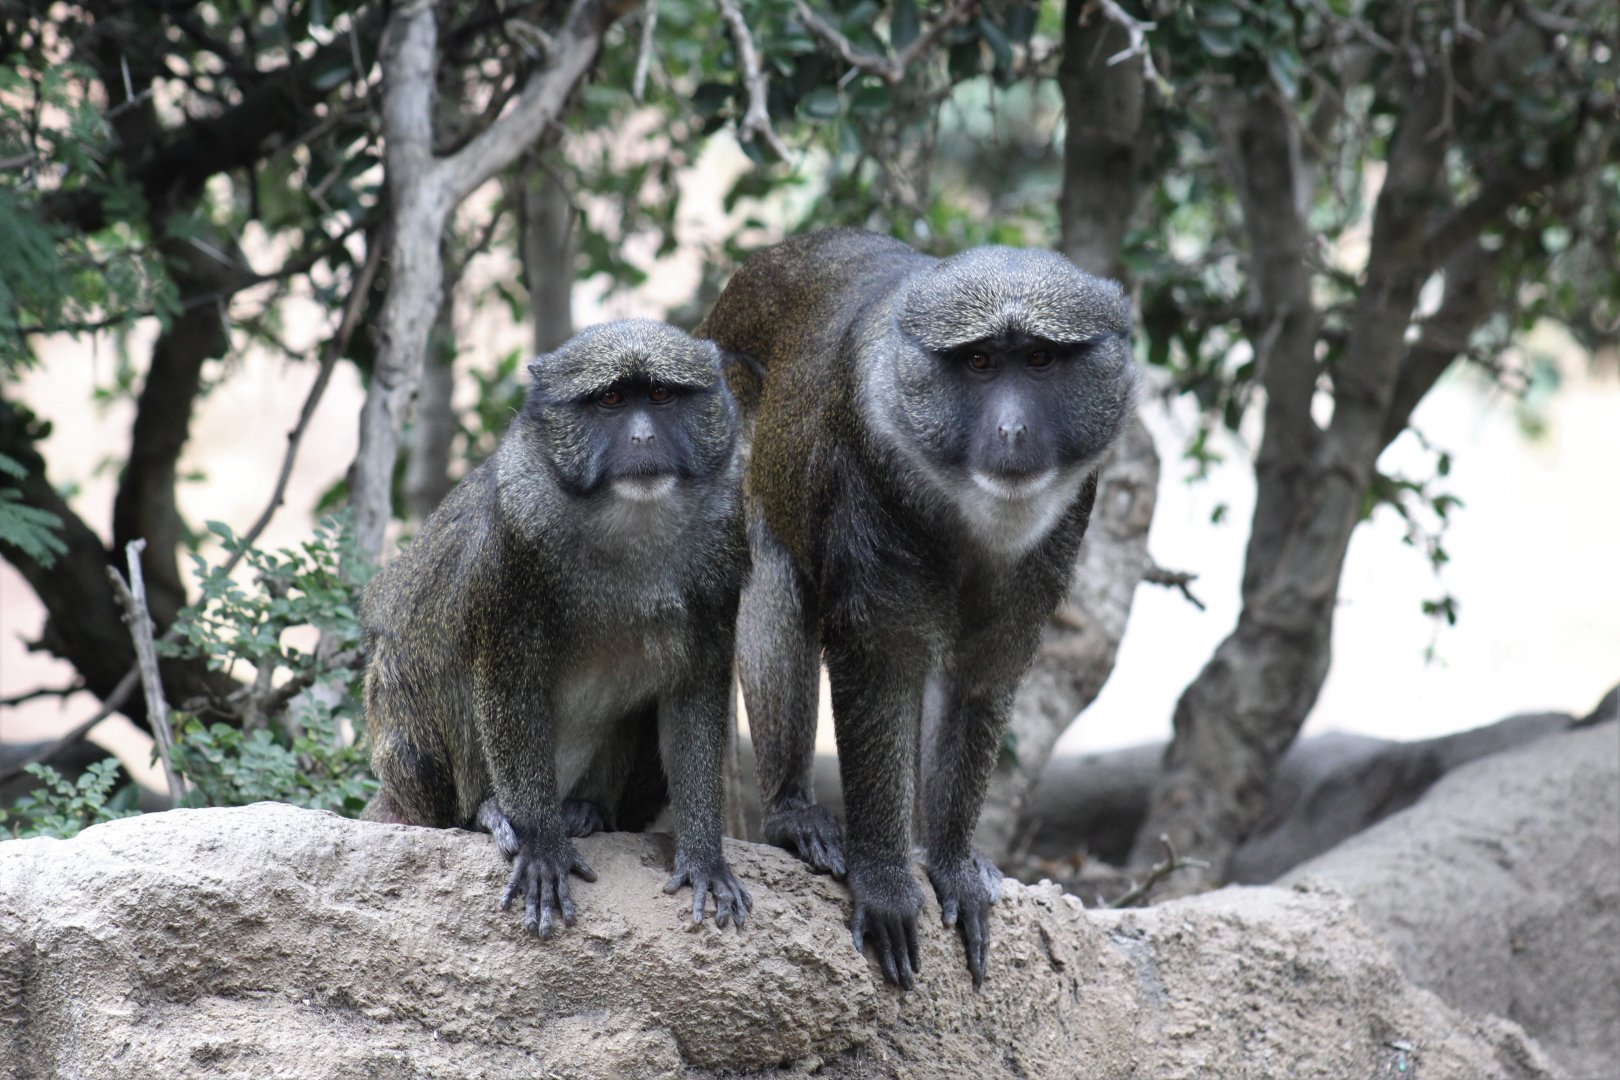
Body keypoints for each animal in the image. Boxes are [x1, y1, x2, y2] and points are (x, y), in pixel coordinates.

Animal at [361, 319, 753, 938]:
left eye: (660, 395)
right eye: (611, 399)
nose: (642, 438)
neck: (629, 528)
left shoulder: (723, 547)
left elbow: (694, 693)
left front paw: (704, 858)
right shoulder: (512, 542)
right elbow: (507, 686)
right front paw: (542, 847)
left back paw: (585, 809)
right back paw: (491, 812)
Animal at [699, 229, 1137, 989]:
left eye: (1041, 359)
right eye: (981, 362)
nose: (1013, 430)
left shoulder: (1069, 517)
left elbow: (982, 674)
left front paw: (953, 864)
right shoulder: (864, 476)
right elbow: (881, 663)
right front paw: (885, 881)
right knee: (769, 574)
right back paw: (793, 815)